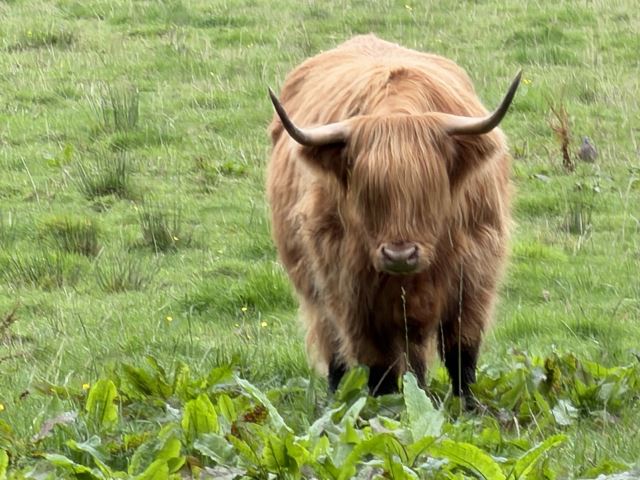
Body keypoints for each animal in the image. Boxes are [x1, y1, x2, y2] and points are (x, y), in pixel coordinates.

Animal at [266, 35, 520, 408]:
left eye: (429, 188)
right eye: (369, 192)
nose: (400, 255)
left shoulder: (475, 278)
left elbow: (461, 352)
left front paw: (469, 408)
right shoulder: (354, 296)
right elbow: (379, 369)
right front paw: (386, 410)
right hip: (317, 291)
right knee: (335, 349)